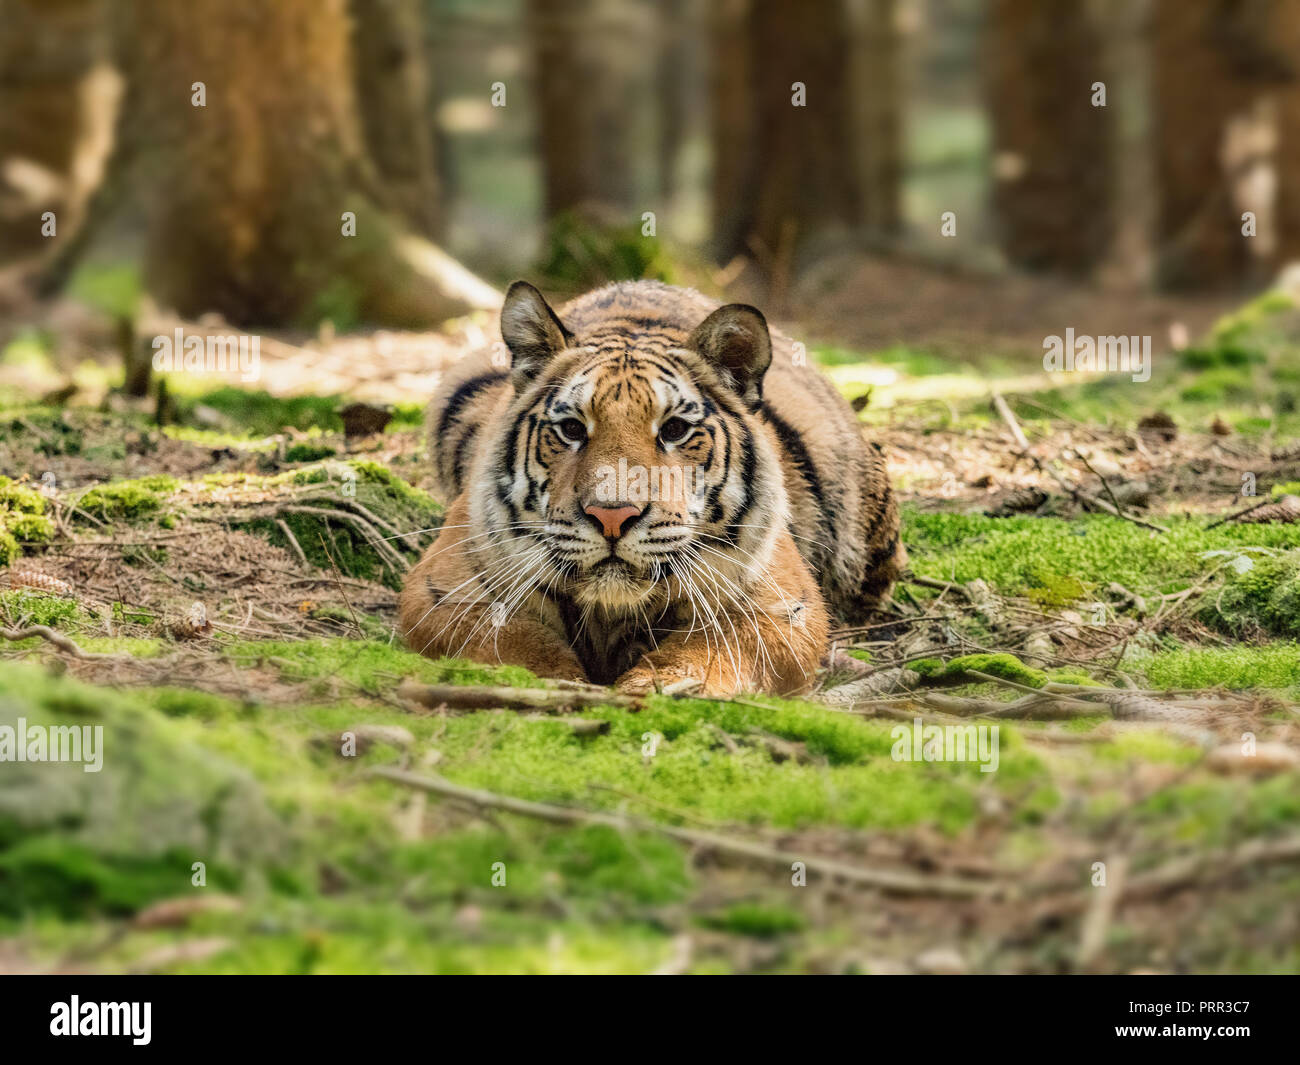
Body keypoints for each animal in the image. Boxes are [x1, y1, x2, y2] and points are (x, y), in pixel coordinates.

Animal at [397, 279, 904, 696]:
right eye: (571, 429)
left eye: (675, 429)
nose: (612, 516)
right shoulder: (444, 589)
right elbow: (515, 641)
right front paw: (558, 685)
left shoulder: (779, 604)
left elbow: (712, 648)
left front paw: (658, 688)